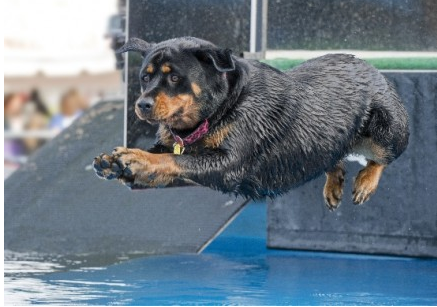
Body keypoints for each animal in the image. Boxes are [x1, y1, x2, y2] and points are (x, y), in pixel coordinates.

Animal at [93, 35, 408, 209]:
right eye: (145, 77)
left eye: (174, 77)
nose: (142, 104)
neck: (219, 111)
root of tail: (371, 67)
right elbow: (165, 156)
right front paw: (115, 161)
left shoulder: (231, 164)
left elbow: (173, 159)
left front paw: (135, 157)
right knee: (333, 156)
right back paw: (334, 182)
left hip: (386, 127)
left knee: (385, 156)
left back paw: (366, 182)